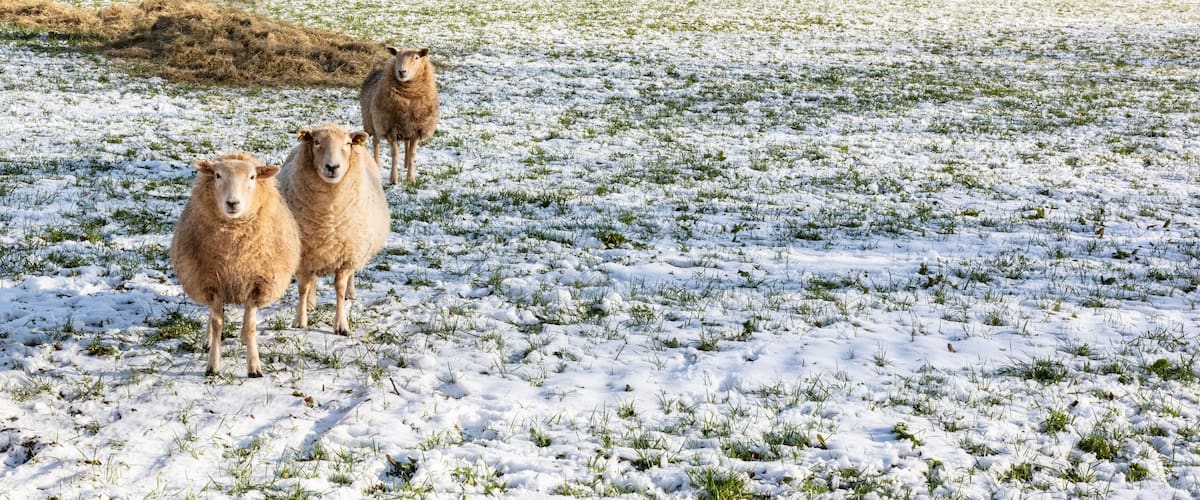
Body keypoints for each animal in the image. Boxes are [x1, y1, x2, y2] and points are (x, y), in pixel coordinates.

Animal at [169, 152, 301, 378]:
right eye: (218, 175)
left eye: (252, 177)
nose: (233, 203)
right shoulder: (211, 283)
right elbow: (216, 322)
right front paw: (212, 365)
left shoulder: (257, 284)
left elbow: (250, 325)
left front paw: (254, 366)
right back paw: (208, 341)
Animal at [277, 123, 390, 335]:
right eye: (316, 142)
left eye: (347, 144)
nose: (332, 167)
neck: (328, 218)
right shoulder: (303, 254)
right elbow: (303, 287)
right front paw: (300, 320)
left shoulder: (347, 256)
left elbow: (339, 288)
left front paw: (341, 325)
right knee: (312, 279)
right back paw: (311, 303)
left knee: (351, 276)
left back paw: (351, 293)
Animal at [360, 46, 440, 184]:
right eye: (396, 56)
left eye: (416, 58)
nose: (401, 71)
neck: (409, 96)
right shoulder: (390, 128)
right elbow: (395, 153)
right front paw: (394, 179)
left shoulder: (416, 128)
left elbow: (412, 154)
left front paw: (410, 178)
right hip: (373, 122)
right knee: (376, 141)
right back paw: (377, 163)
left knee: (406, 144)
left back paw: (406, 164)